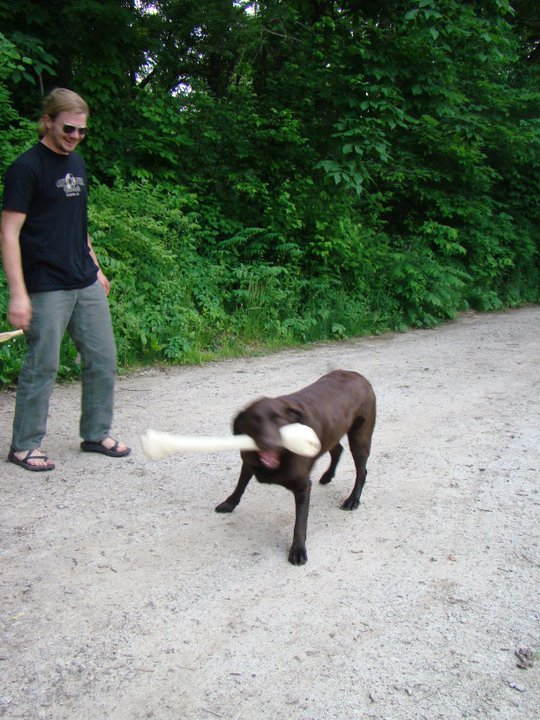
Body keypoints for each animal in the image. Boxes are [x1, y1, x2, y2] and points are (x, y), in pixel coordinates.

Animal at [215, 370, 376, 565]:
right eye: (255, 419)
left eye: (278, 419)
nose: (270, 444)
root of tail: (357, 374)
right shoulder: (249, 462)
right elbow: (240, 485)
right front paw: (229, 503)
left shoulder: (302, 487)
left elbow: (300, 523)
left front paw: (298, 550)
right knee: (337, 449)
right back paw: (327, 476)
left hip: (360, 437)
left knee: (362, 471)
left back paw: (353, 499)